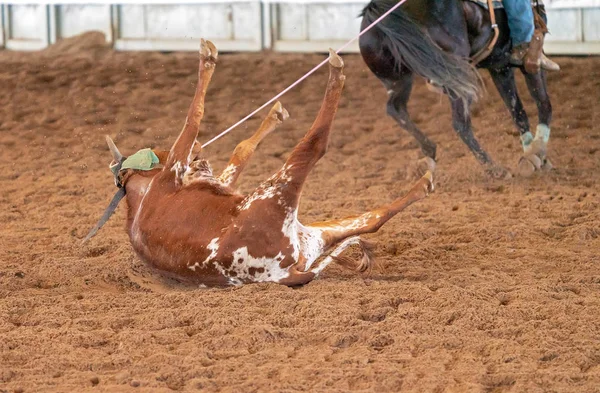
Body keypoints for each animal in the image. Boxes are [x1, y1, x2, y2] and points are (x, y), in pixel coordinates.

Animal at [88, 39, 432, 284]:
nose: (199, 153)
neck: (142, 196)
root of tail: (286, 274)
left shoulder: (210, 177)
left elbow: (239, 150)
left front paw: (272, 116)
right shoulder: (173, 169)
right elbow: (193, 118)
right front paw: (207, 60)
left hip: (315, 233)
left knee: (372, 221)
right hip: (279, 190)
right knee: (314, 146)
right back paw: (336, 70)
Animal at [358, 0, 552, 178]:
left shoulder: (499, 67)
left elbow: (518, 112)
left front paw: (530, 155)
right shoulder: (528, 63)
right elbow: (543, 103)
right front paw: (539, 151)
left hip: (398, 79)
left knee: (395, 108)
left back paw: (429, 149)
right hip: (455, 73)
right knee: (460, 124)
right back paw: (495, 169)